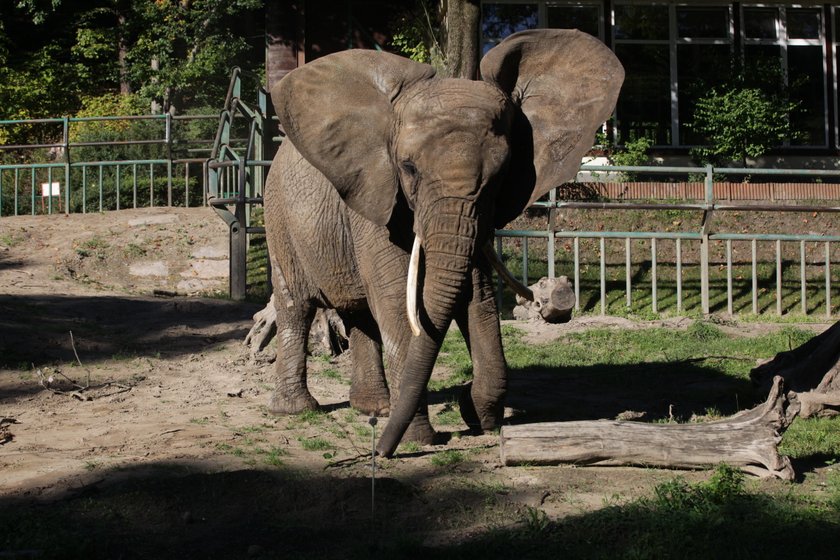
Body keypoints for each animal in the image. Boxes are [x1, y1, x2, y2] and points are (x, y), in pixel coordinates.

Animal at [262, 29, 624, 460]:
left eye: (501, 174)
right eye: (408, 168)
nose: (380, 453)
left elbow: (478, 295)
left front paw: (476, 414)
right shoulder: (378, 198)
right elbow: (396, 299)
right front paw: (420, 439)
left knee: (360, 313)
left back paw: (374, 409)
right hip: (278, 213)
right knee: (295, 307)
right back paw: (297, 411)